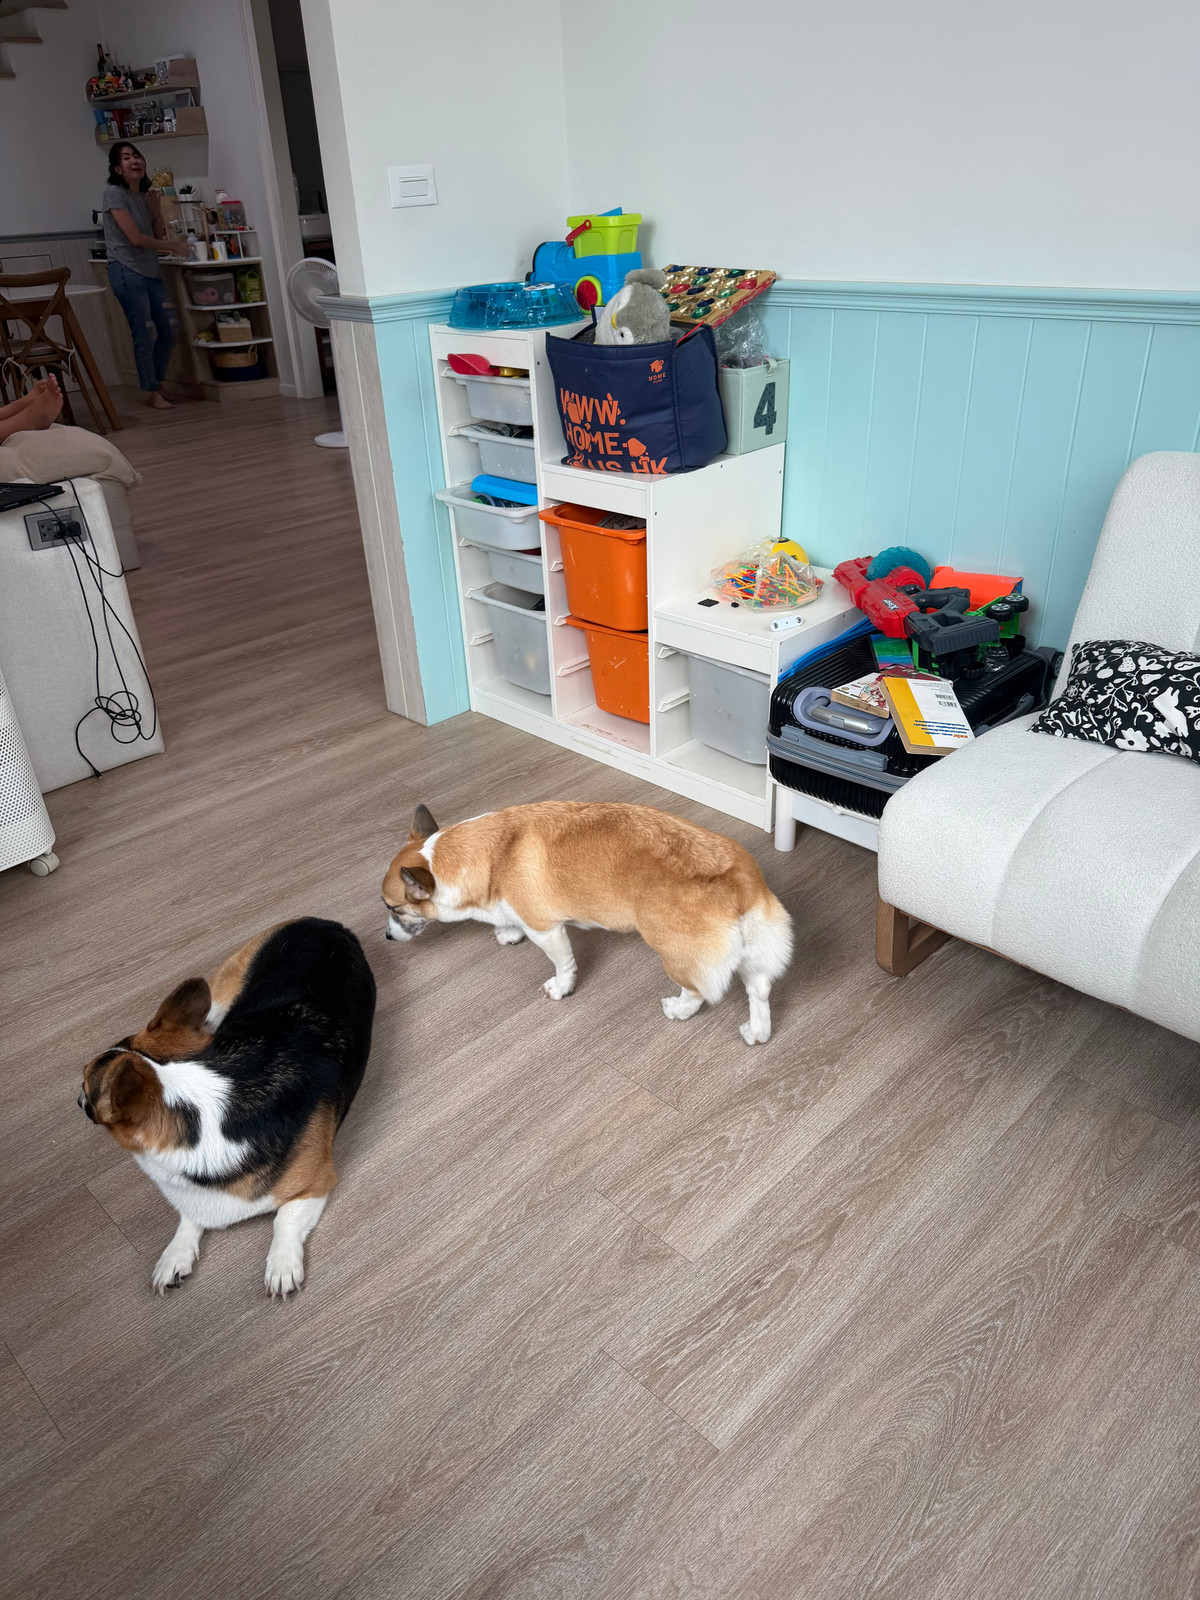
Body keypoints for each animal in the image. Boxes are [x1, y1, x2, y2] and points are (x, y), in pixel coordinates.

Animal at [79, 917, 375, 1297]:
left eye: (84, 1086)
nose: (78, 1100)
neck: (196, 1101)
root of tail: (327, 923)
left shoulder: (317, 1181)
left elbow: (284, 1219)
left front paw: (281, 1265)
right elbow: (189, 1217)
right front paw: (175, 1255)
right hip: (219, 1001)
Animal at [382, 802, 792, 1044]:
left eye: (394, 908)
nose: (386, 936)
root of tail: (738, 881)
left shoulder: (547, 929)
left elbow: (563, 964)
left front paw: (561, 988)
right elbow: (506, 920)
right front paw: (506, 932)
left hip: (676, 956)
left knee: (698, 993)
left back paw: (678, 1009)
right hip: (753, 955)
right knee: (759, 991)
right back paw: (757, 1032)